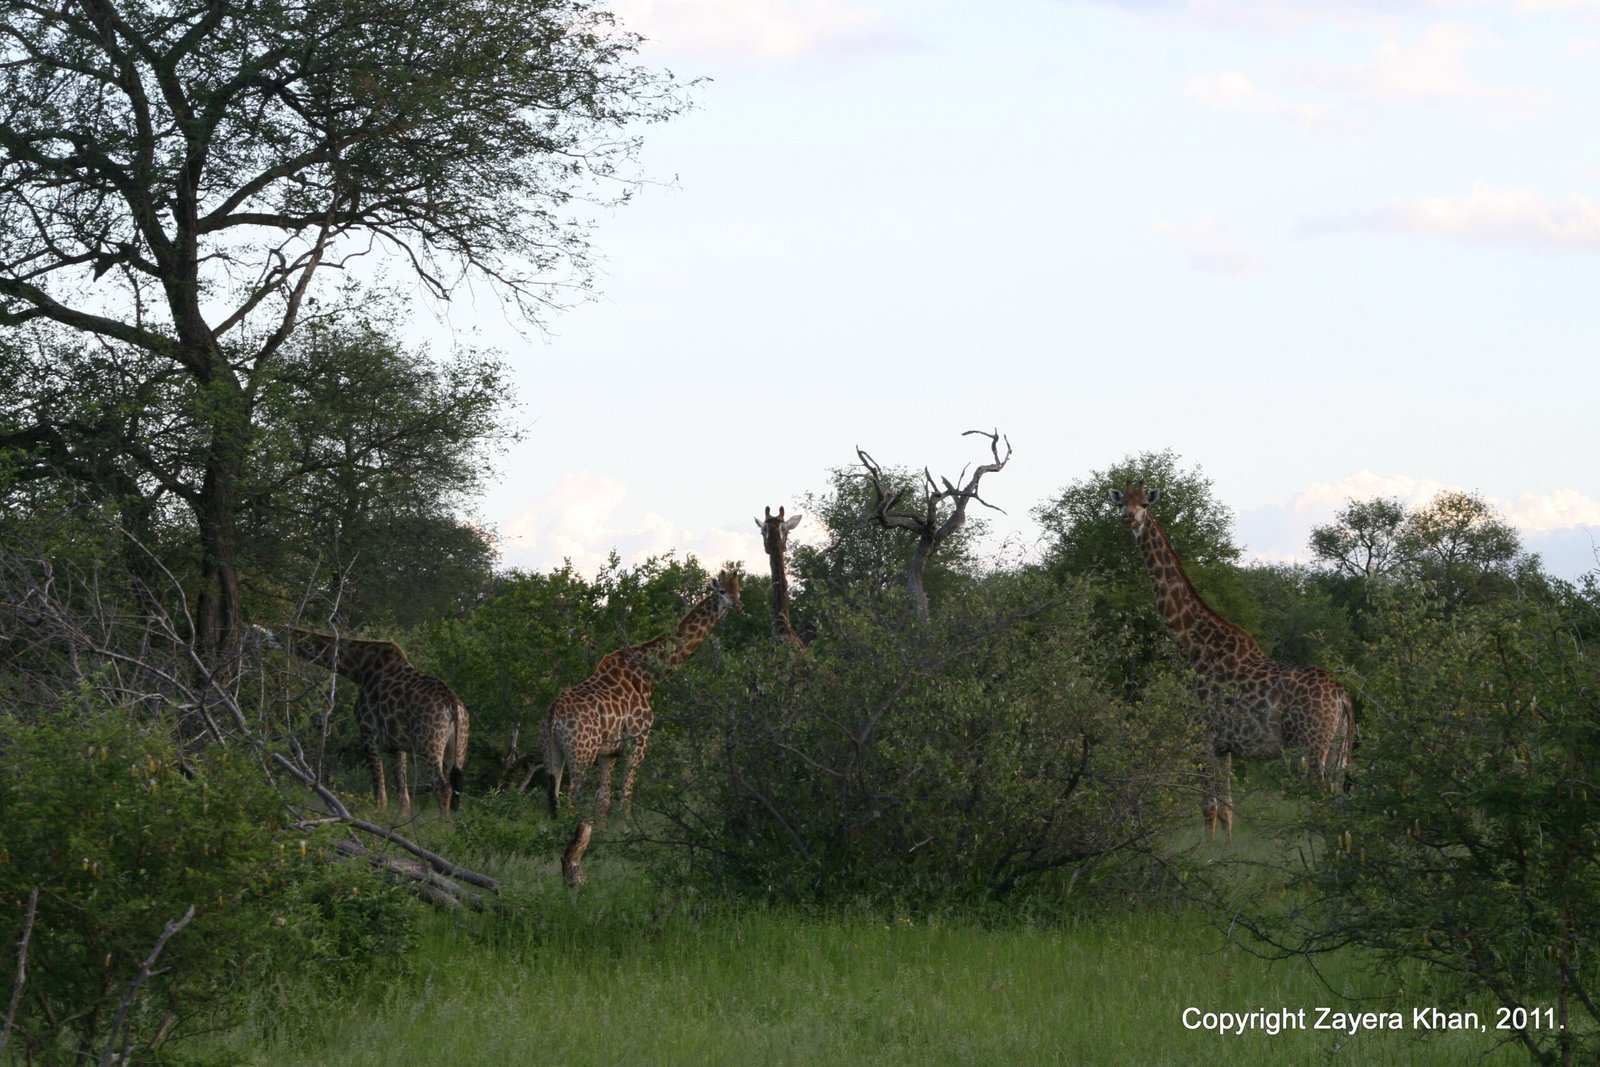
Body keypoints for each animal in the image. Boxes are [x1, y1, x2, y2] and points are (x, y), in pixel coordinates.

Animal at [255, 625, 470, 817]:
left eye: (264, 632)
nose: (256, 640)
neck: (359, 670)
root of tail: (453, 704)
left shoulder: (368, 732)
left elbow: (380, 794)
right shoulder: (397, 745)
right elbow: (404, 796)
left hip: (428, 744)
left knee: (442, 786)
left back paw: (443, 828)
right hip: (458, 747)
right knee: (455, 786)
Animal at [541, 571, 743, 829]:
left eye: (739, 591)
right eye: (722, 591)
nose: (738, 605)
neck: (647, 678)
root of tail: (554, 713)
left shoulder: (609, 752)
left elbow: (603, 799)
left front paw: (602, 832)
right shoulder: (638, 741)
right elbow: (626, 797)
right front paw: (627, 828)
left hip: (552, 752)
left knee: (554, 799)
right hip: (582, 753)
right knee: (571, 798)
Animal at [1110, 485, 1354, 838]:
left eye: (1144, 503)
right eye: (1121, 503)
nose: (1129, 520)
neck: (1191, 644)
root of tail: (1342, 696)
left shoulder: (1202, 735)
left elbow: (1208, 807)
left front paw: (1209, 850)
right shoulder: (1225, 746)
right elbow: (1227, 810)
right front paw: (1225, 847)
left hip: (1312, 744)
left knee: (1321, 802)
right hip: (1338, 748)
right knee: (1340, 806)